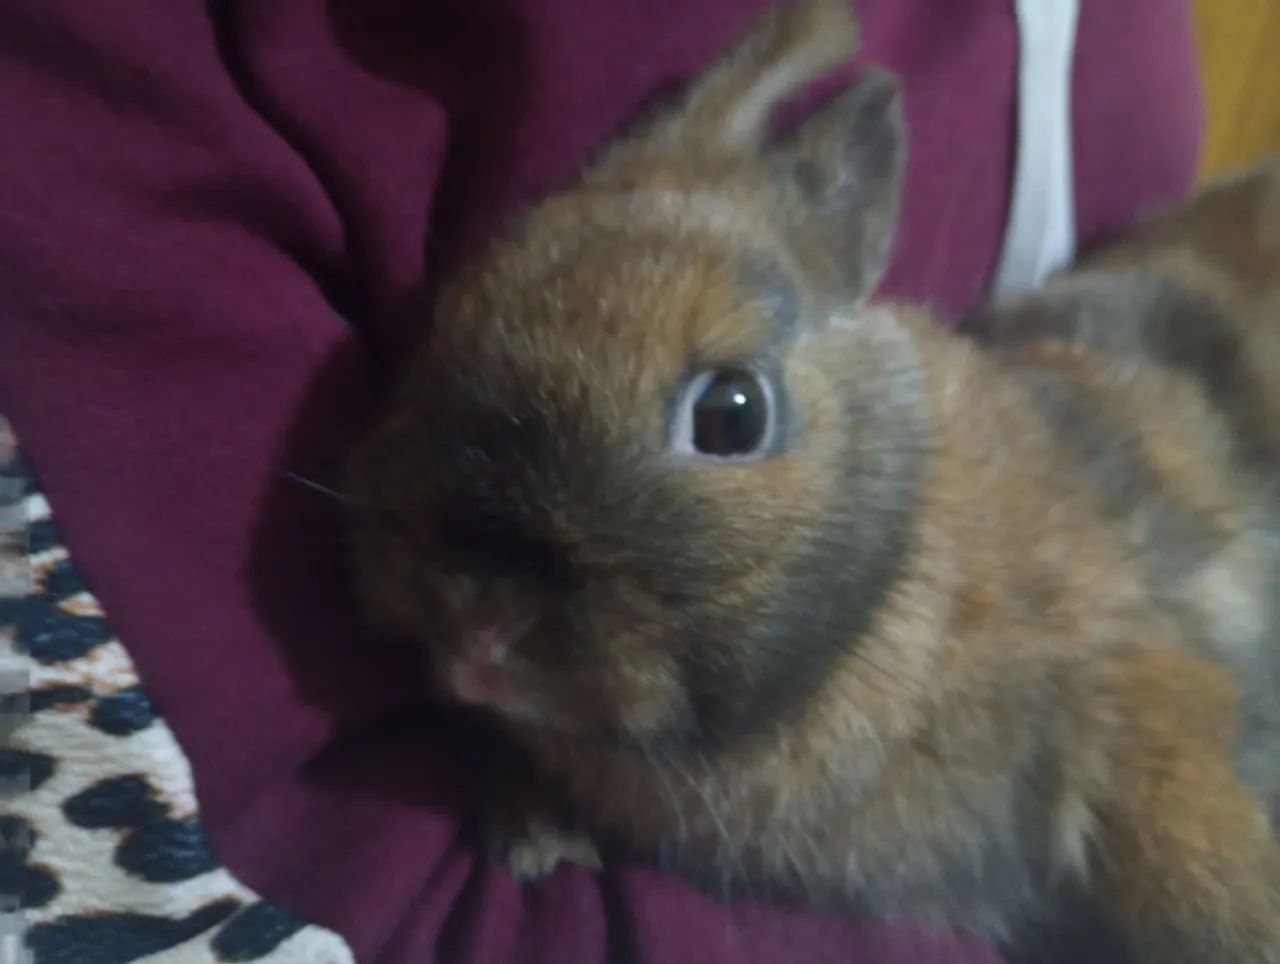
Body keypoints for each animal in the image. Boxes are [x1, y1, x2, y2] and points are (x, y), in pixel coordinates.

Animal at [347, 0, 1280, 960]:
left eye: (732, 414)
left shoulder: (1146, 690)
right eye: (448, 321)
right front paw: (537, 833)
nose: (476, 622)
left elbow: (1193, 851)